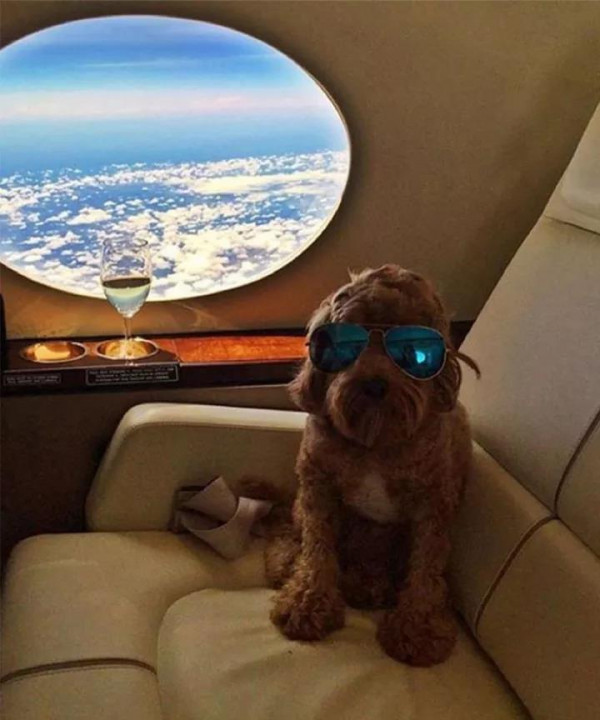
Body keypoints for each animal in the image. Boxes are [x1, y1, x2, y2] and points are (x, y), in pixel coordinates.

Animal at [264, 265, 479, 666]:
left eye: (413, 349)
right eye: (345, 342)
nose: (375, 385)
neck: (376, 439)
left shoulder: (433, 504)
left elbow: (426, 566)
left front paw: (418, 628)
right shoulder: (317, 487)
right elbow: (317, 548)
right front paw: (307, 602)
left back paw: (367, 584)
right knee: (291, 528)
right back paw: (289, 563)